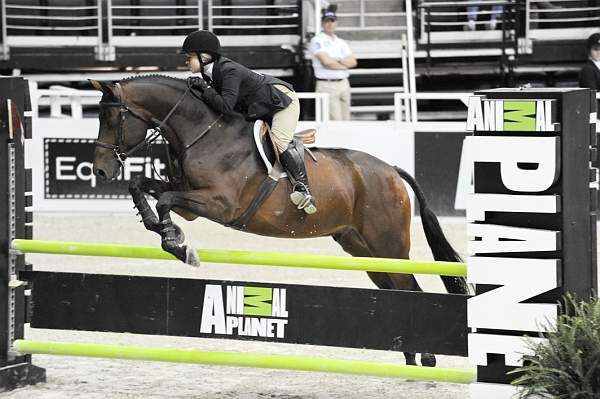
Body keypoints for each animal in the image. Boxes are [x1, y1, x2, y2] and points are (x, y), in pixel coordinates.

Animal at [89, 75, 466, 368]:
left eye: (112, 119)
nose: (101, 171)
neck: (202, 132)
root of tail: (392, 171)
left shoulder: (220, 203)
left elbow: (166, 200)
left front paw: (176, 243)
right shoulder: (191, 202)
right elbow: (143, 186)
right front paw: (162, 229)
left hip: (389, 245)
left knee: (411, 289)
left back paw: (427, 358)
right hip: (363, 249)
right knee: (397, 292)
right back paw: (411, 357)